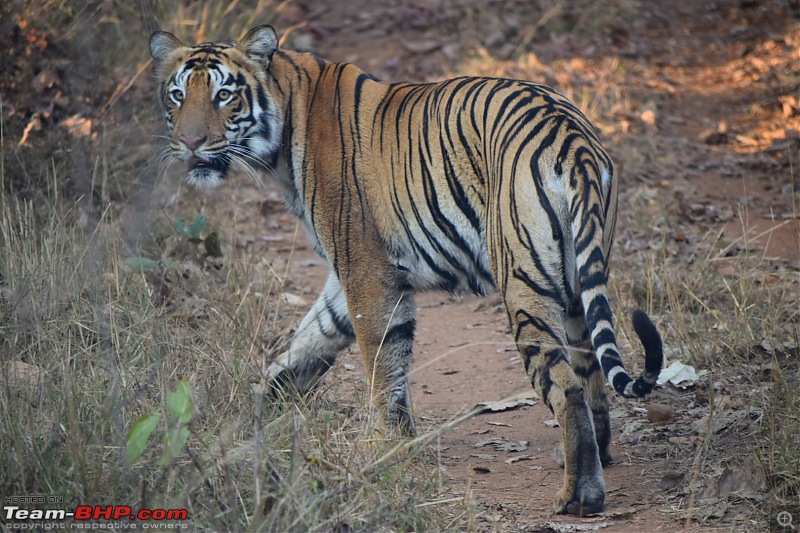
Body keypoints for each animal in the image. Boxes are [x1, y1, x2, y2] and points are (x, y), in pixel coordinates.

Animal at [150, 25, 664, 516]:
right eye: (177, 95)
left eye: (223, 94)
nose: (190, 143)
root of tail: (572, 137)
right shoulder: (348, 278)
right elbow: (307, 341)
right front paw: (256, 409)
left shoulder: (366, 270)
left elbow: (383, 363)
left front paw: (385, 445)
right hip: (575, 286)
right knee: (591, 374)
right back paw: (595, 458)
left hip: (524, 285)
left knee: (568, 387)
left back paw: (579, 497)